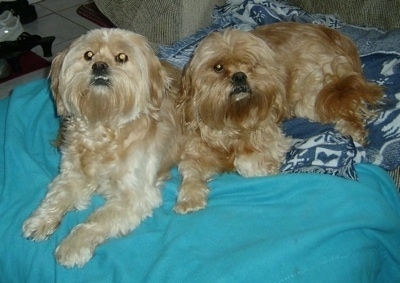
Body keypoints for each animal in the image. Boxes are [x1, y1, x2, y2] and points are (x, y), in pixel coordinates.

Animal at [21, 28, 181, 268]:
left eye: (121, 57)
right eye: (88, 55)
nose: (99, 66)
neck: (103, 128)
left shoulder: (136, 196)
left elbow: (98, 219)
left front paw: (73, 245)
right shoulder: (72, 174)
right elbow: (58, 195)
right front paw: (41, 219)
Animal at [174, 22, 382, 214]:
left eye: (252, 64)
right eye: (218, 67)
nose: (240, 76)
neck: (232, 119)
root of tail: (329, 33)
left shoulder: (272, 140)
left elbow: (245, 162)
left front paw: (263, 168)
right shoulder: (194, 153)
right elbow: (191, 174)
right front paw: (189, 198)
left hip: (313, 97)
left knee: (349, 105)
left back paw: (354, 132)